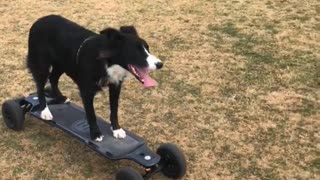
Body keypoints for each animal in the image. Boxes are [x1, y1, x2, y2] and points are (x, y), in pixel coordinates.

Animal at [26, 14, 162, 141]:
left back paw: (60, 98)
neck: (106, 61)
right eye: (136, 51)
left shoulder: (115, 86)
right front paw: (95, 134)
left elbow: (114, 110)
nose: (160, 64)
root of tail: (39, 20)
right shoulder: (86, 90)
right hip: (42, 64)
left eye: (148, 48)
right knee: (40, 87)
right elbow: (91, 114)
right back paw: (45, 111)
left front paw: (116, 129)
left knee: (53, 78)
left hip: (62, 63)